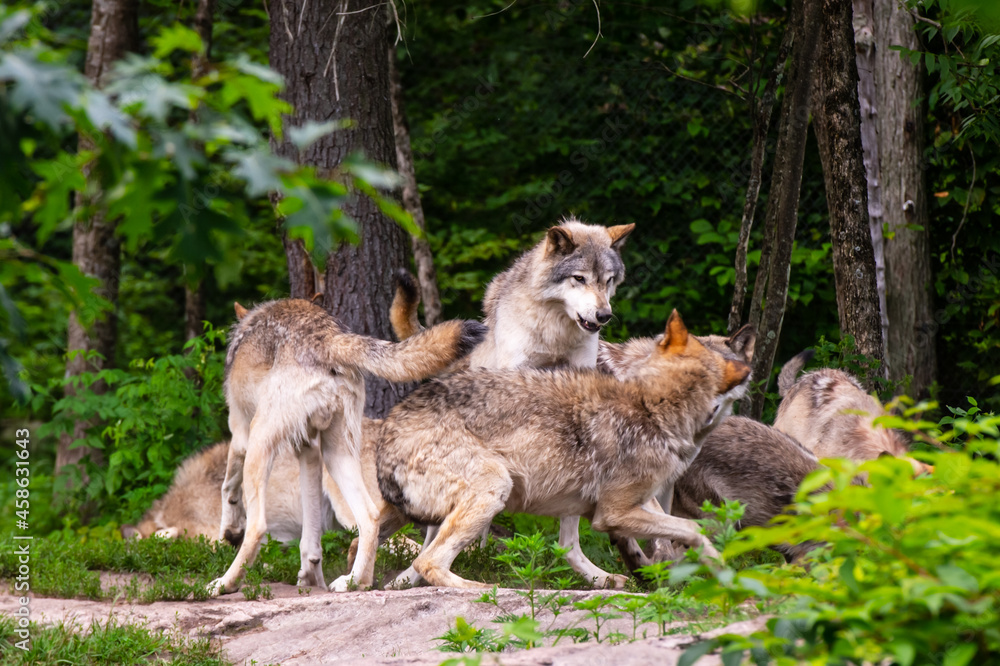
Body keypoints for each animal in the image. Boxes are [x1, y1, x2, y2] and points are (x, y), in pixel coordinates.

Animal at [207, 298, 484, 596]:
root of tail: (328, 338)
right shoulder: (308, 449)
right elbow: (311, 535)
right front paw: (309, 576)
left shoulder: (240, 433)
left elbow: (227, 486)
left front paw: (229, 531)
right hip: (336, 457)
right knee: (370, 519)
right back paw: (355, 582)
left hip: (262, 442)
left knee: (258, 527)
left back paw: (224, 584)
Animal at [375, 311, 750, 589]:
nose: (746, 385)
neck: (651, 405)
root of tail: (389, 433)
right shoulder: (614, 513)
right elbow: (689, 528)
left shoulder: (639, 502)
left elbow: (688, 535)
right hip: (494, 489)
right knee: (428, 562)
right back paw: (486, 588)